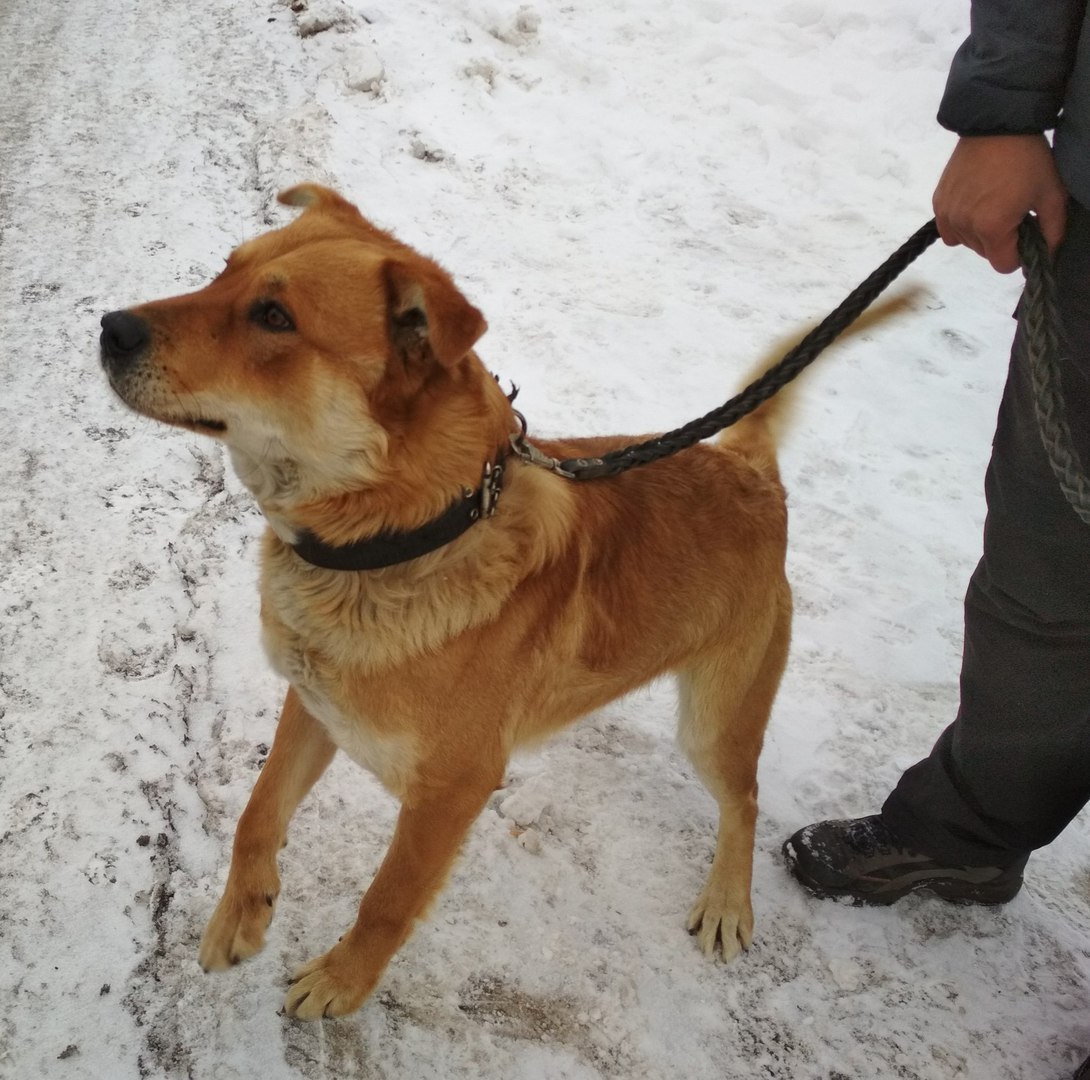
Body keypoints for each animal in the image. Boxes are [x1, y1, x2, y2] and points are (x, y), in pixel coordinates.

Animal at [102, 185, 793, 1020]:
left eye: (274, 317)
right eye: (224, 270)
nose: (110, 328)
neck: (401, 541)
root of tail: (752, 474)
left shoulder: (450, 795)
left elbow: (387, 900)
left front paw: (342, 982)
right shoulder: (315, 706)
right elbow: (257, 812)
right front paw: (242, 913)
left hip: (715, 722)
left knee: (743, 799)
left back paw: (727, 902)